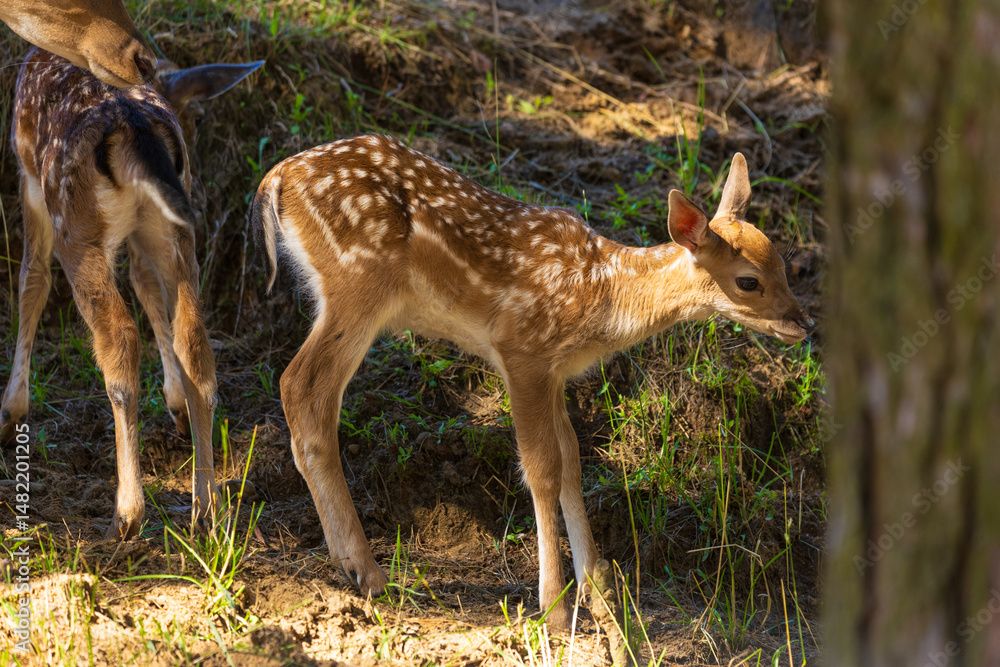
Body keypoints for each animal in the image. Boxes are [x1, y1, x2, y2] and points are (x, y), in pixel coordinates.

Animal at [1, 47, 263, 539]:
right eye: (195, 116)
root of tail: (135, 126)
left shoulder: (26, 174)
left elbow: (31, 282)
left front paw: (10, 413)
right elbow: (146, 285)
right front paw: (177, 406)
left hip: (74, 222)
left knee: (119, 337)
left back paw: (127, 513)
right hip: (173, 229)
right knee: (195, 342)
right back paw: (207, 509)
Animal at [250, 134, 814, 628]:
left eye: (785, 265)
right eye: (748, 281)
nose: (803, 323)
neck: (600, 296)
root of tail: (275, 178)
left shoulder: (557, 372)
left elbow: (572, 463)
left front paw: (597, 591)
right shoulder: (521, 351)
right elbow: (542, 469)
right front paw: (555, 609)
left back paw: (350, 566)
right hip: (359, 282)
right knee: (302, 386)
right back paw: (367, 573)